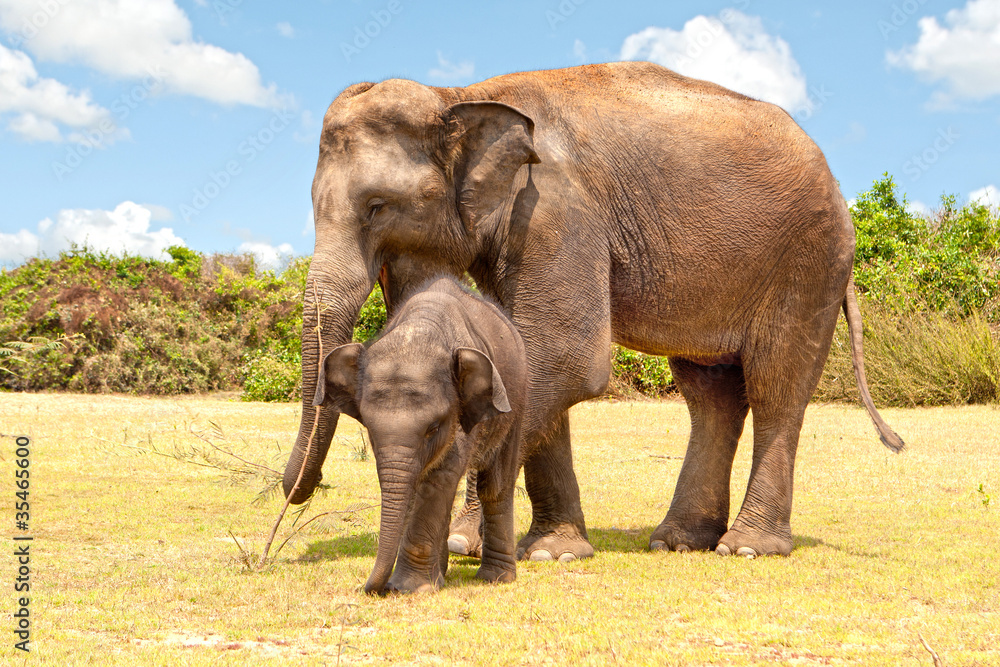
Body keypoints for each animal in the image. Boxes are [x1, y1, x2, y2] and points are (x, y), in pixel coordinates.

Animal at [315, 276, 526, 594]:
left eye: (433, 428)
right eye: (370, 430)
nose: (371, 588)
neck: (420, 331)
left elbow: (439, 478)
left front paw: (410, 588)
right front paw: (422, 583)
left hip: (520, 400)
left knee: (495, 485)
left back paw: (496, 578)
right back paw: (443, 575)